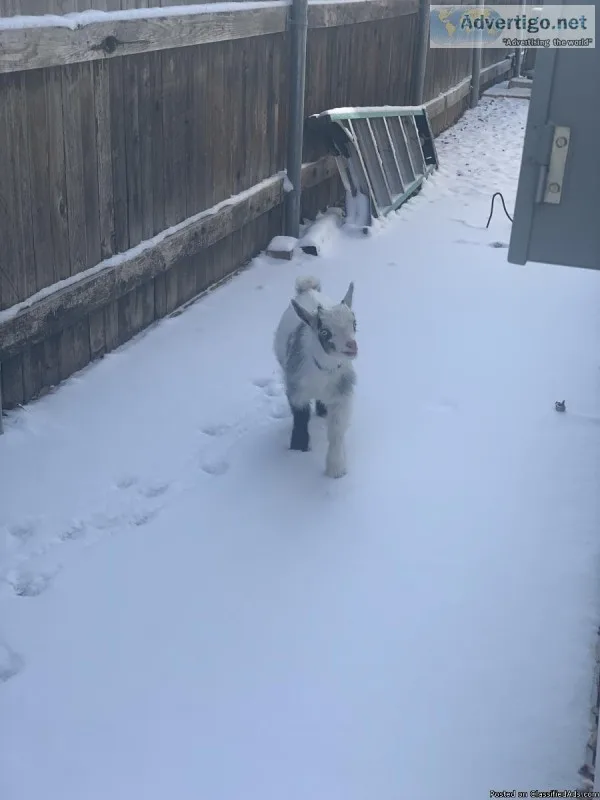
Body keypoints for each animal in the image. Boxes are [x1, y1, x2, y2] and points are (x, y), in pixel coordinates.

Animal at [273, 275, 358, 478]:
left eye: (354, 323)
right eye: (324, 331)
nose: (352, 346)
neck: (323, 371)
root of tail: (308, 288)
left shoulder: (342, 393)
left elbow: (336, 430)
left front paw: (336, 470)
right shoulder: (296, 391)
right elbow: (301, 418)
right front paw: (298, 448)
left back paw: (322, 411)